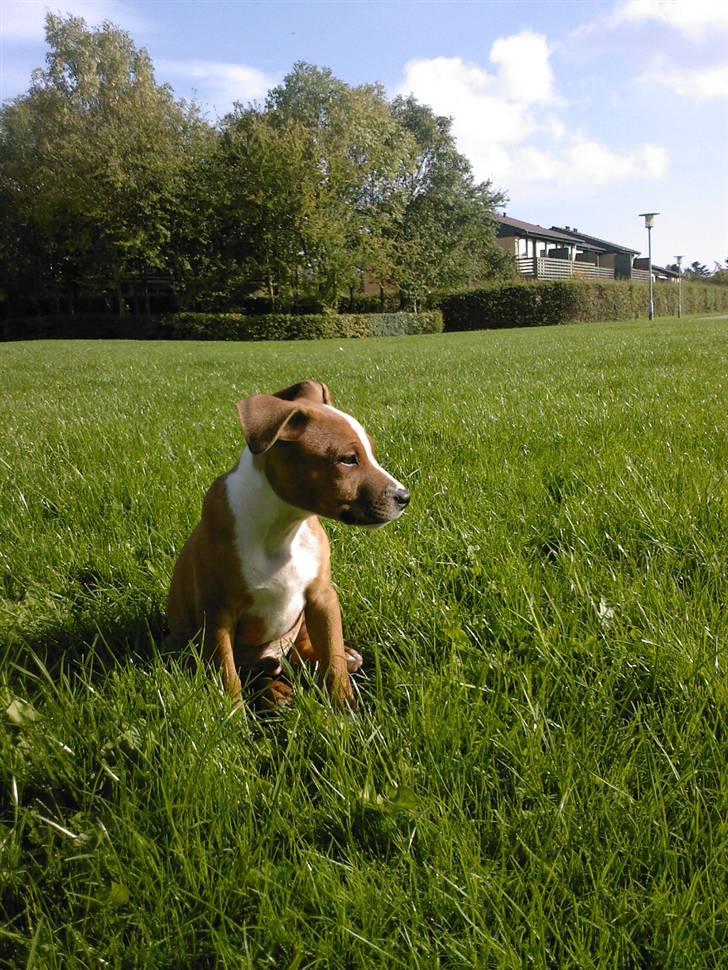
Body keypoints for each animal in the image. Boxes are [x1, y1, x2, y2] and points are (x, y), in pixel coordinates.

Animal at [164, 382, 410, 708]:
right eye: (347, 459)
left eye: (371, 451)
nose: (404, 497)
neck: (283, 529)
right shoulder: (217, 615)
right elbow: (228, 676)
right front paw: (233, 716)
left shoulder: (322, 597)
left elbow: (333, 656)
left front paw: (344, 706)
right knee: (250, 673)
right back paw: (274, 691)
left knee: (303, 652)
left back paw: (344, 659)